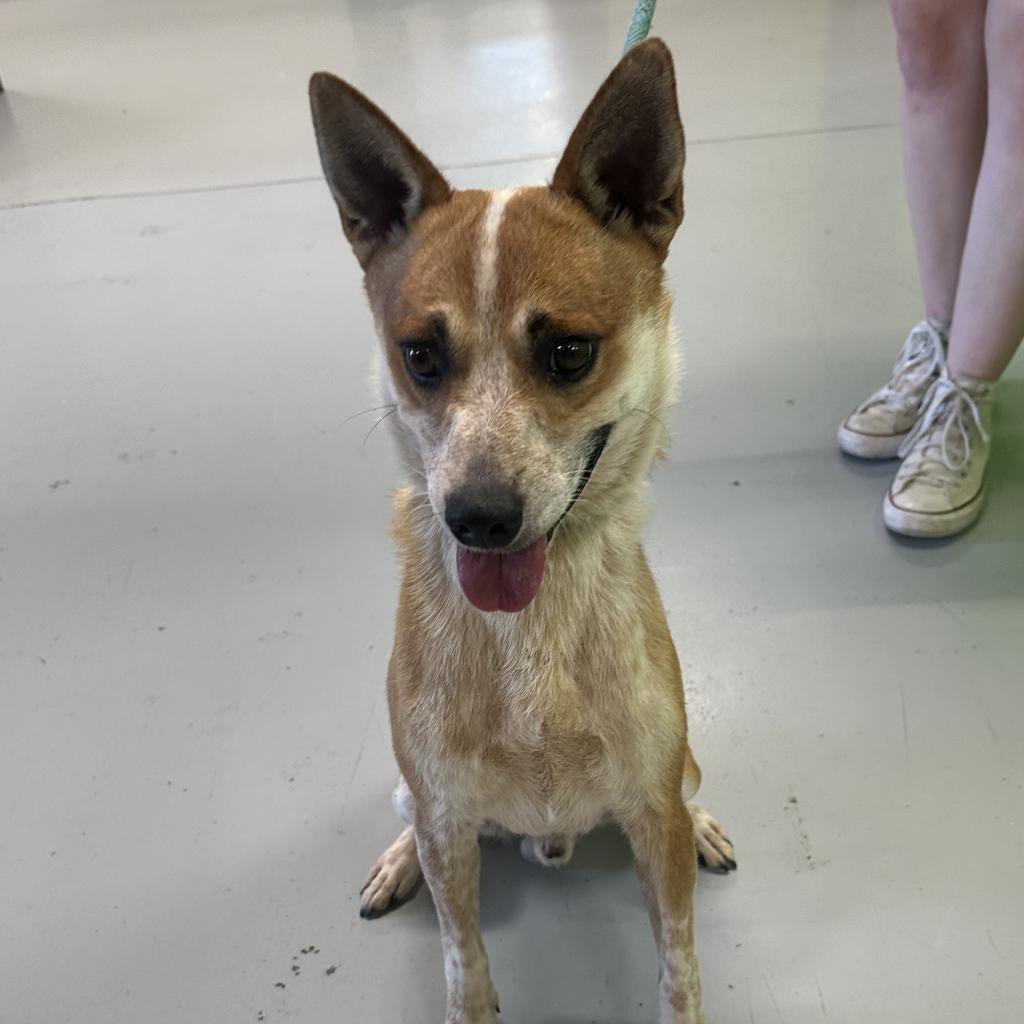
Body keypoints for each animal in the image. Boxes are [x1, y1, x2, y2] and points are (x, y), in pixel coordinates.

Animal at [307, 37, 733, 1024]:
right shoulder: (446, 817)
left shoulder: (650, 806)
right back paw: (397, 865)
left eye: (568, 352)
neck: (528, 637)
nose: (478, 517)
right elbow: (463, 962)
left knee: (687, 790)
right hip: (414, 795)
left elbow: (680, 965)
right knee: (416, 828)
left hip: (677, 771)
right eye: (419, 355)